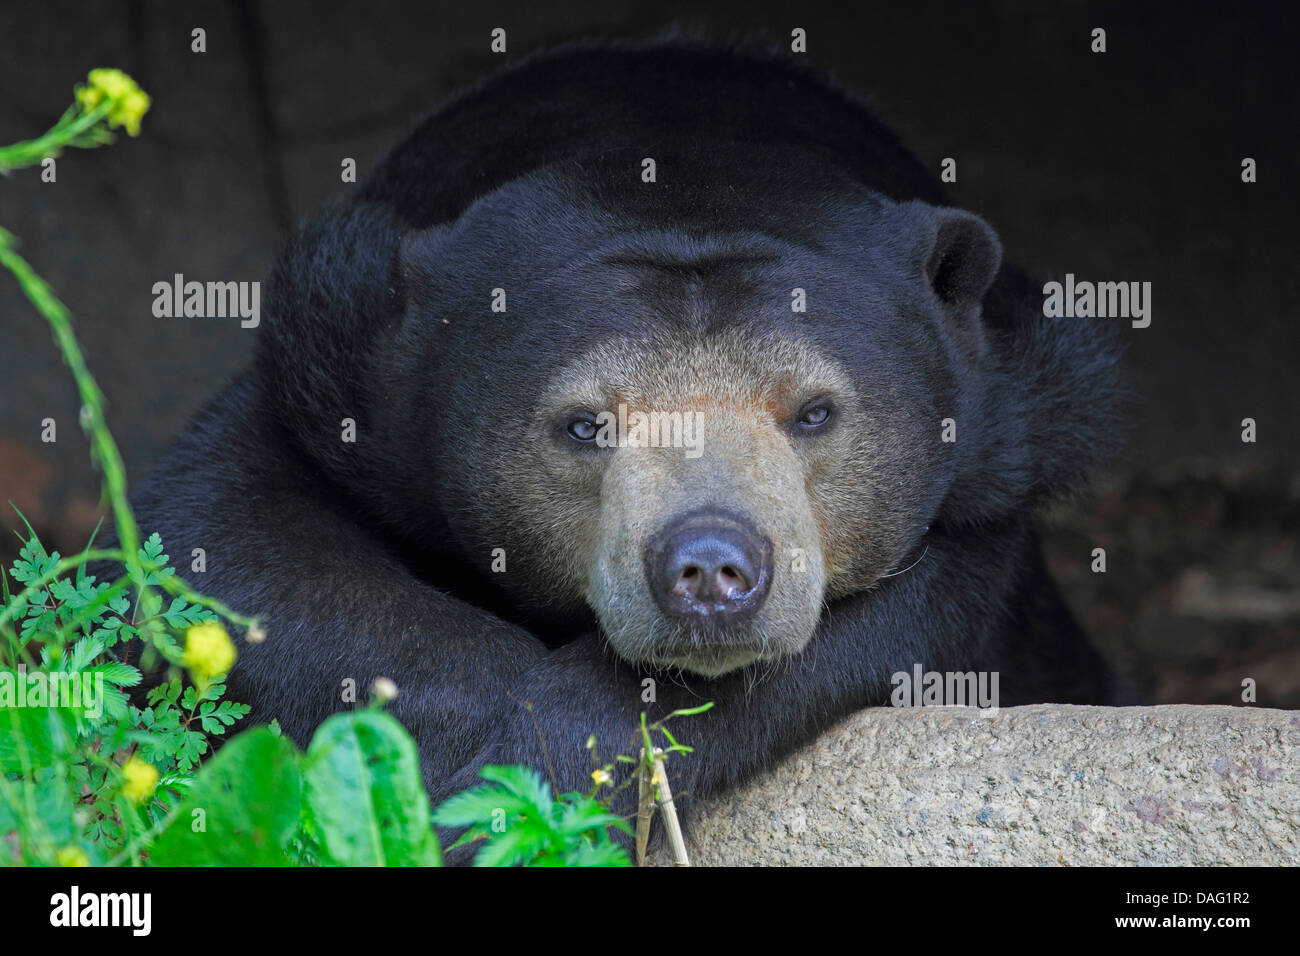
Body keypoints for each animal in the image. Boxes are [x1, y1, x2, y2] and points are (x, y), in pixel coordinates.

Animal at [129, 41, 1128, 837]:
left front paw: (560, 752)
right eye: (585, 425)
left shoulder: (1012, 422)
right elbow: (232, 536)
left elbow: (909, 608)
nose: (712, 567)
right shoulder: (339, 367)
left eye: (813, 412)